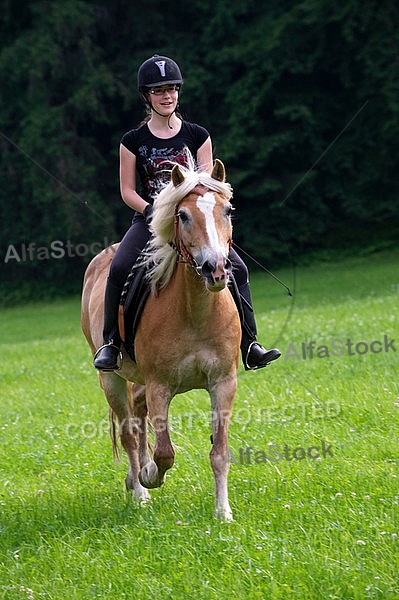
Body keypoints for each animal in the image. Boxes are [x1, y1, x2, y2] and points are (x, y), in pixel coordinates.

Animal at [82, 159, 241, 520]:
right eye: (182, 215)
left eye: (227, 210)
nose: (215, 269)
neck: (195, 312)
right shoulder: (160, 387)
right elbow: (165, 452)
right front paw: (150, 476)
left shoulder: (223, 383)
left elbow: (220, 452)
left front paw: (223, 512)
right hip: (111, 379)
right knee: (129, 432)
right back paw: (140, 489)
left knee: (138, 421)